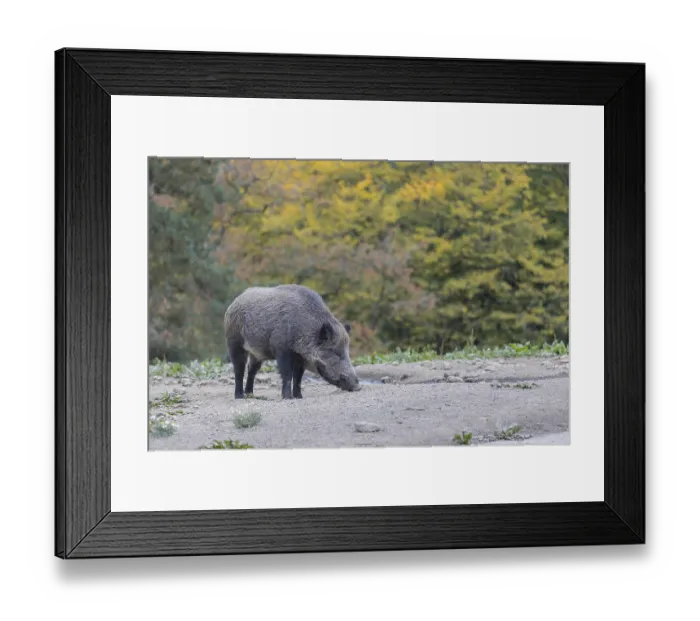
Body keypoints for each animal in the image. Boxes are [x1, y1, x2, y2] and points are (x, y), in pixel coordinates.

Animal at [224, 284, 362, 399]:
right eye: (334, 351)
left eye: (347, 350)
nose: (357, 387)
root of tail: (233, 303)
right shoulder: (282, 350)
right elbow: (287, 375)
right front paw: (288, 398)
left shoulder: (301, 358)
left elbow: (298, 377)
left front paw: (299, 397)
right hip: (234, 341)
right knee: (239, 369)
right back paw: (240, 396)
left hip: (257, 353)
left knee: (252, 370)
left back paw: (250, 395)